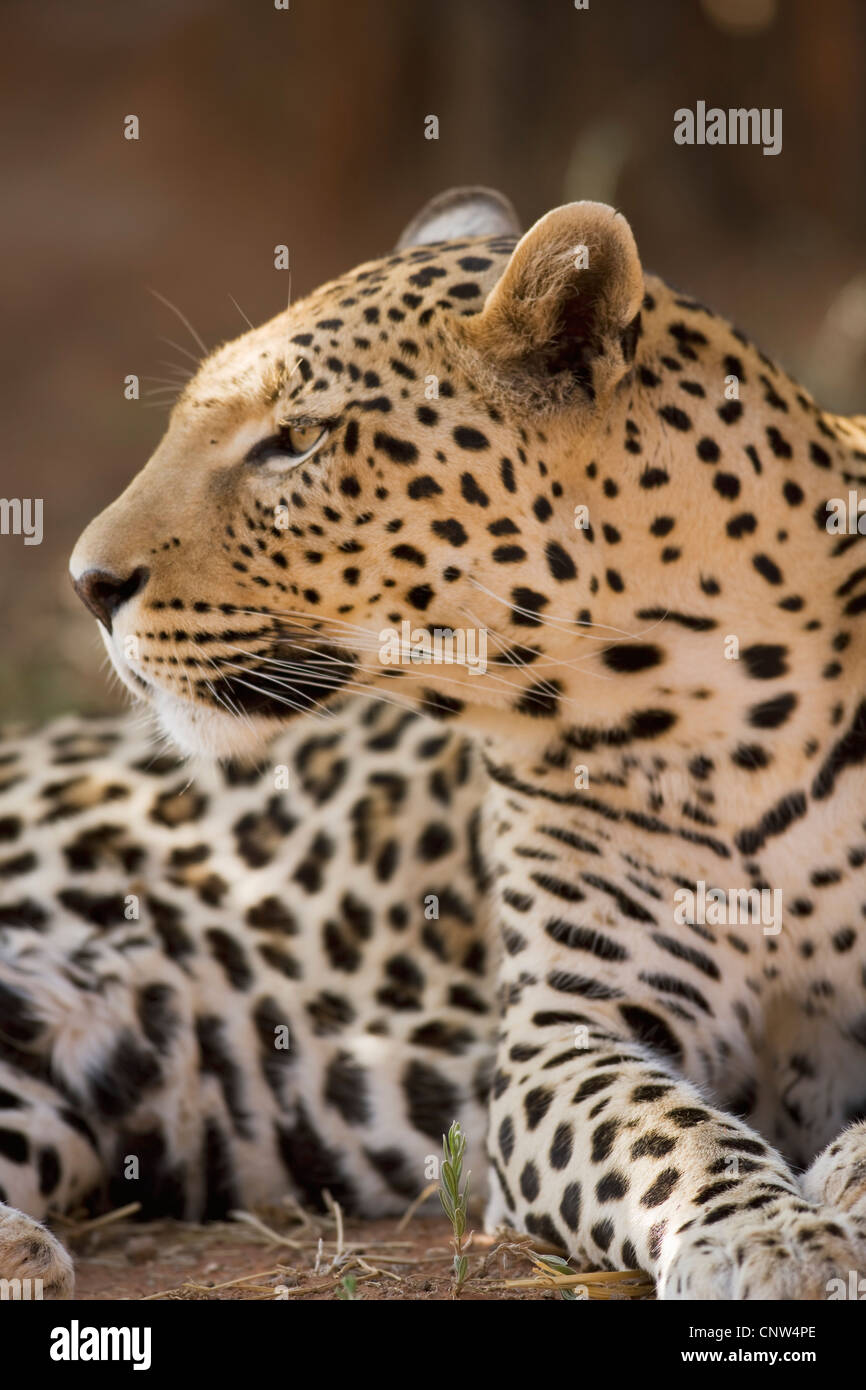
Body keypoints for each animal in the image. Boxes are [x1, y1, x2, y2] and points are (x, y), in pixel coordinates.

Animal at [5, 187, 866, 1301]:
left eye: (297, 439)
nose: (87, 585)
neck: (733, 731)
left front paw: (836, 1183)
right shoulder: (563, 1036)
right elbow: (670, 1135)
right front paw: (770, 1240)